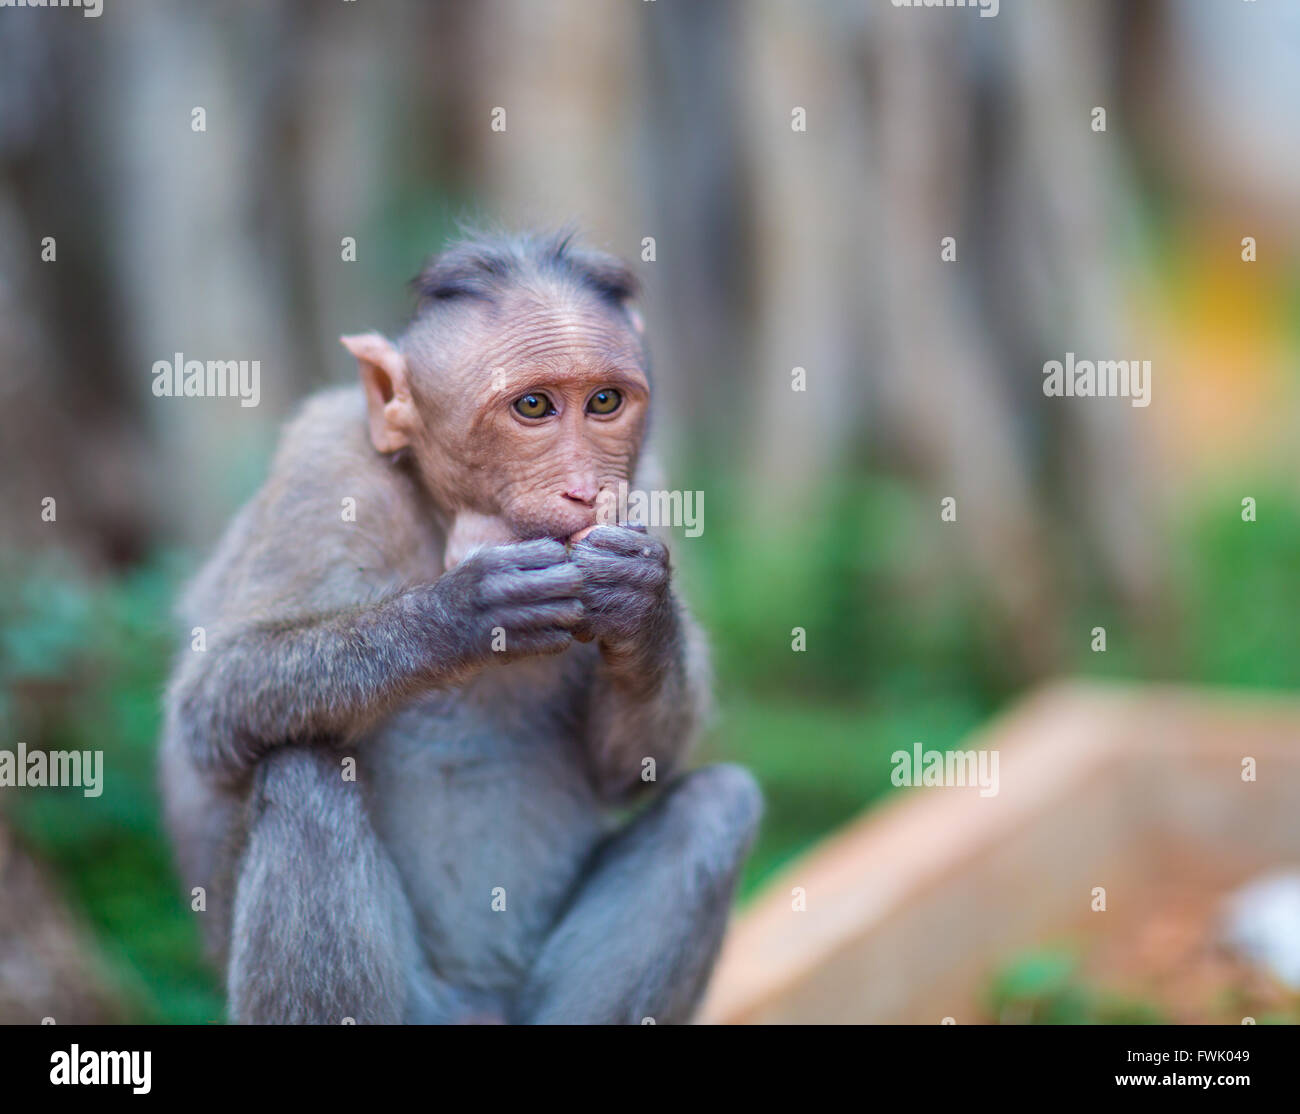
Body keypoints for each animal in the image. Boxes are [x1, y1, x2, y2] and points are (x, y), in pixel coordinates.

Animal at [159, 230, 759, 1019]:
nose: (586, 488)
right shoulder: (326, 465)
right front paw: (467, 612)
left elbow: (626, 771)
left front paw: (640, 603)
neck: (441, 506)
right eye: (533, 406)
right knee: (301, 779)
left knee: (715, 807)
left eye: (604, 402)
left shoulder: (647, 488)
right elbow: (214, 699)